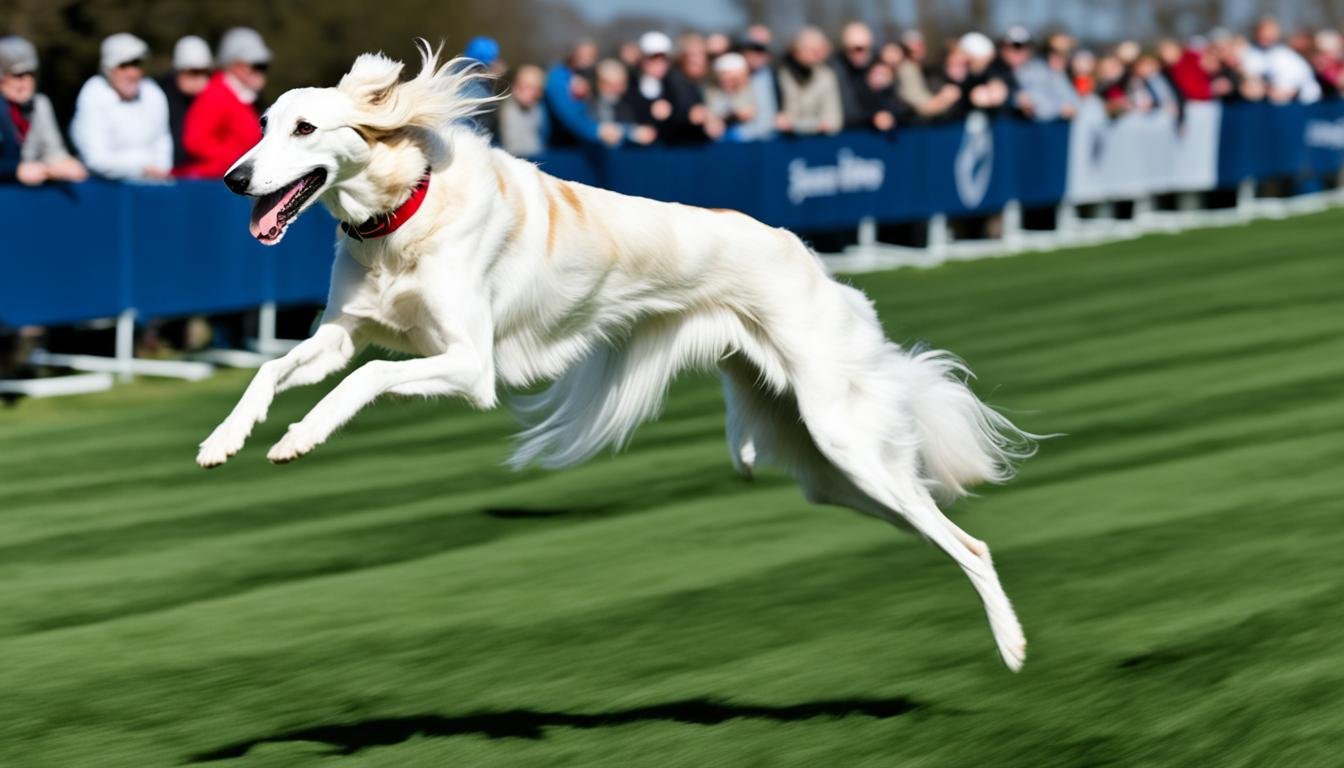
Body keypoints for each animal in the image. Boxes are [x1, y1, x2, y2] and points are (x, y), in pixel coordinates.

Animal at [196, 42, 1037, 669]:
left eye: (305, 128)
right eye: (263, 123)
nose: (233, 179)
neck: (406, 212)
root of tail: (806, 258)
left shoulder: (469, 366)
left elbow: (367, 378)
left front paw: (300, 436)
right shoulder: (341, 333)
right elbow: (274, 368)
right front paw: (224, 440)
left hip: (847, 440)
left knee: (972, 544)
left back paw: (1013, 646)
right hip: (831, 470)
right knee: (936, 526)